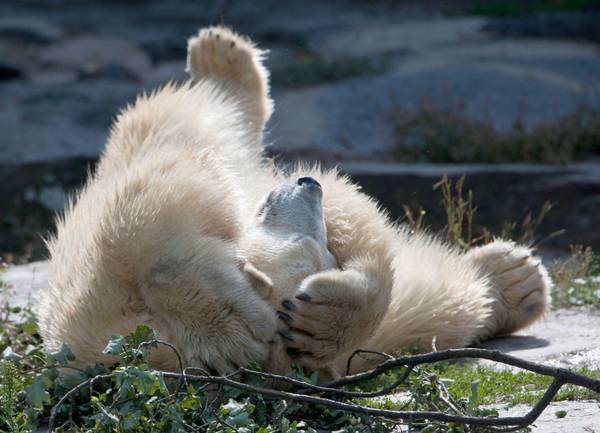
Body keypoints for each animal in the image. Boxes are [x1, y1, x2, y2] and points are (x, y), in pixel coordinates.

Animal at [37, 27, 552, 378]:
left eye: (325, 253)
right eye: (313, 248)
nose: (307, 184)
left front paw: (319, 321)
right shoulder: (93, 309)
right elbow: (160, 206)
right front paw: (229, 322)